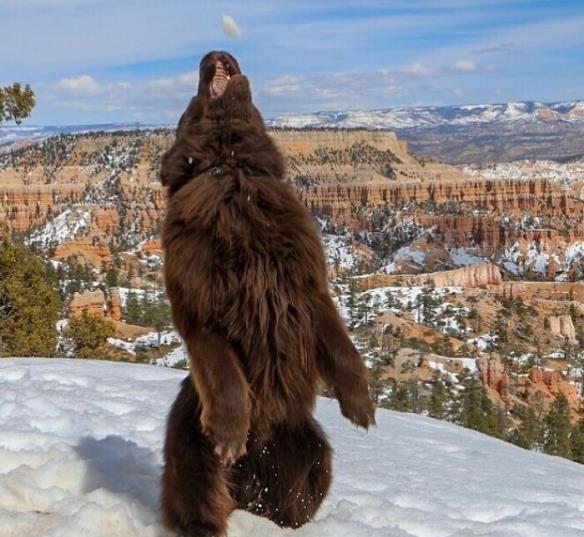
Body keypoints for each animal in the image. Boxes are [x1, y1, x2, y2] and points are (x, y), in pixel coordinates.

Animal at [159, 51, 374, 536]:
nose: (214, 52)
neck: (232, 171)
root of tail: (247, 485)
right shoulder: (200, 311)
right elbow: (226, 377)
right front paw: (230, 434)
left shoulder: (309, 291)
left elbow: (344, 351)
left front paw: (361, 407)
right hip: (190, 449)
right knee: (202, 501)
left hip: (311, 450)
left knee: (292, 502)